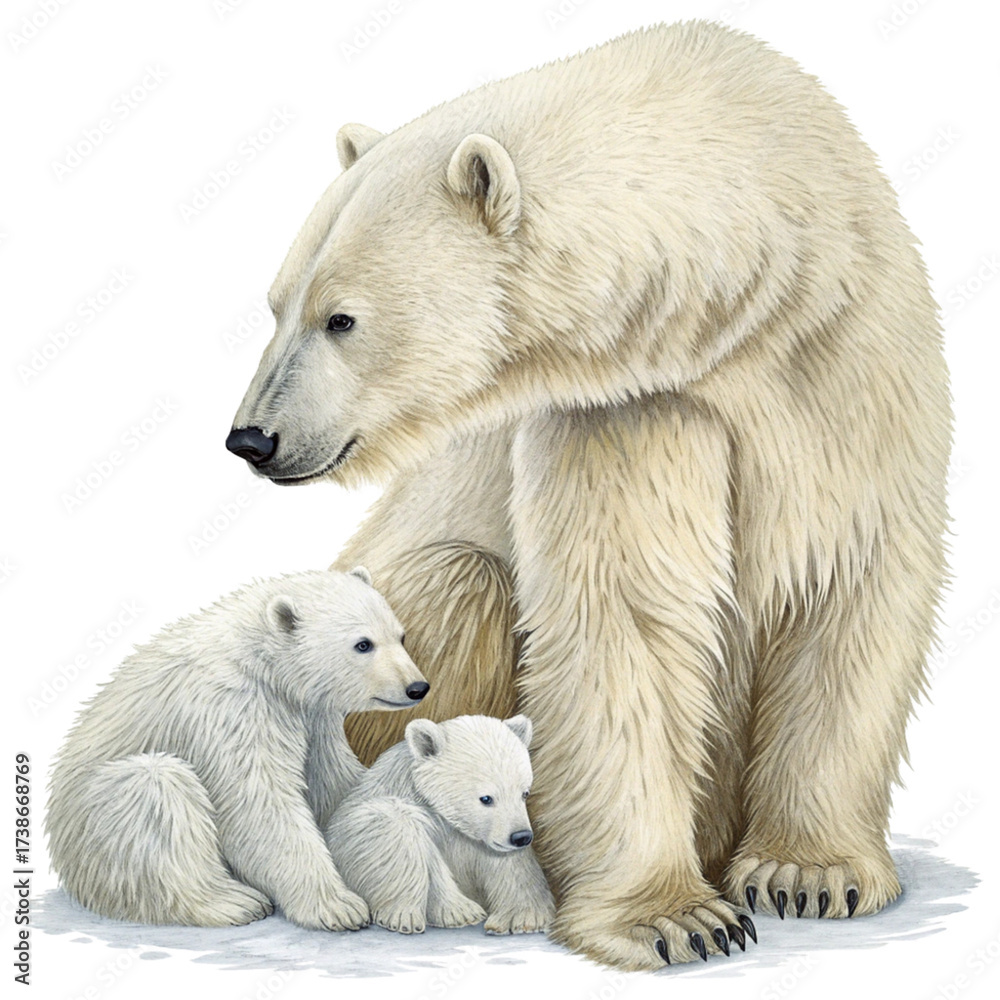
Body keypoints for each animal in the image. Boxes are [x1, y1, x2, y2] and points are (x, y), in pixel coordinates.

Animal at [46, 567, 429, 929]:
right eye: (363, 644)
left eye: (400, 636)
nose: (417, 687)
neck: (257, 657)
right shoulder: (232, 708)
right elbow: (257, 803)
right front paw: (337, 906)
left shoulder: (313, 715)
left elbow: (333, 778)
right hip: (95, 819)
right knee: (157, 790)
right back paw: (231, 901)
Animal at [325, 714, 554, 935]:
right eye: (486, 798)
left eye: (524, 793)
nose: (521, 837)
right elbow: (401, 838)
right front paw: (456, 912)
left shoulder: (478, 838)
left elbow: (509, 864)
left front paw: (524, 917)